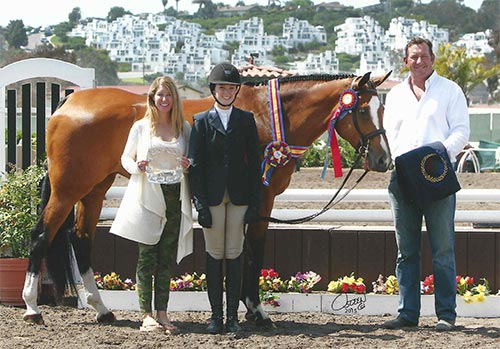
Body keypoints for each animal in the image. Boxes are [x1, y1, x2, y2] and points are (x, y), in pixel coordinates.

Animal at [22, 70, 390, 326]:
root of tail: (68, 103)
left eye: (382, 108)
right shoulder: (261, 199)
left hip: (94, 189)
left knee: (80, 239)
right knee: (41, 237)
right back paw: (31, 308)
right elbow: (254, 250)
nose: (383, 159)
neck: (269, 116)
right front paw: (257, 312)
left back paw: (102, 310)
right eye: (362, 111)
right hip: (68, 190)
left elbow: (246, 250)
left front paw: (247, 310)